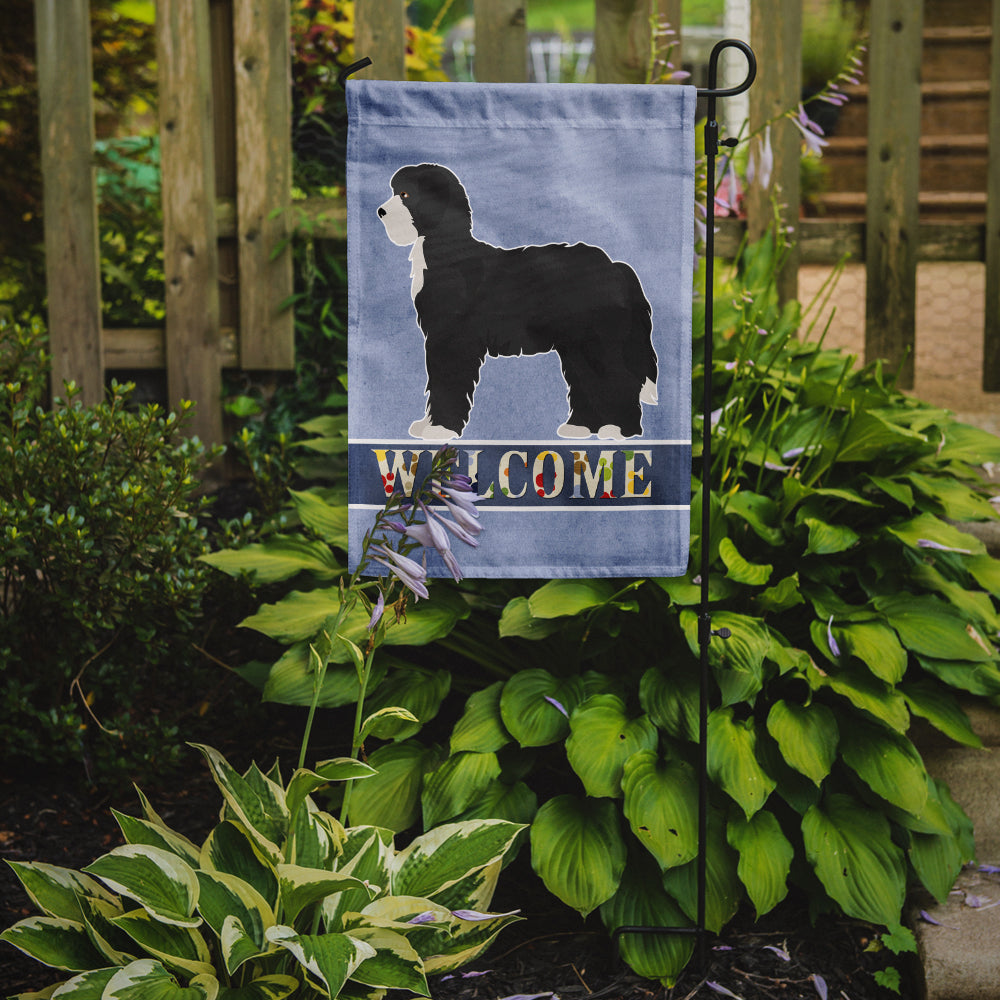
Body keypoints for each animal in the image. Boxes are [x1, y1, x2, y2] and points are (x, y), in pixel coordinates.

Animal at [376, 163, 656, 438]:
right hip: (578, 344)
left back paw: (621, 430)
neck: (449, 253)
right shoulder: (438, 337)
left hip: (601, 340)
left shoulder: (453, 339)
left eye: (405, 195)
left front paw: (440, 429)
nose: (380, 211)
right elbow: (436, 379)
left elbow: (447, 381)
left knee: (620, 378)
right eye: (395, 191)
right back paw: (581, 426)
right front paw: (426, 425)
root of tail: (615, 266)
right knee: (588, 381)